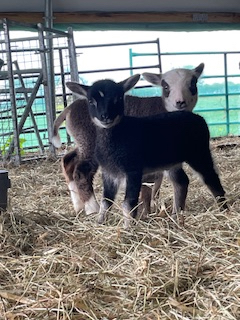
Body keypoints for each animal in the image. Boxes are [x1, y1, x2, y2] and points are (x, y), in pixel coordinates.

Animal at [51, 63, 203, 216]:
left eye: (193, 83)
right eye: (165, 86)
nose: (180, 102)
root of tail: (69, 108)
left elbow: (157, 182)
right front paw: (145, 211)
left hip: (82, 141)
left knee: (68, 161)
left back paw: (78, 206)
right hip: (89, 141)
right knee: (81, 171)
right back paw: (92, 207)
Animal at [73, 75, 227, 228]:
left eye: (118, 98)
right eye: (91, 101)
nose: (105, 116)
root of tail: (199, 118)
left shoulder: (133, 170)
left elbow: (128, 203)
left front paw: (127, 228)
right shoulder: (109, 172)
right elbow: (106, 202)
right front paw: (99, 222)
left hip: (199, 153)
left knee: (211, 178)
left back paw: (224, 209)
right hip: (171, 161)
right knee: (182, 182)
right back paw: (176, 215)